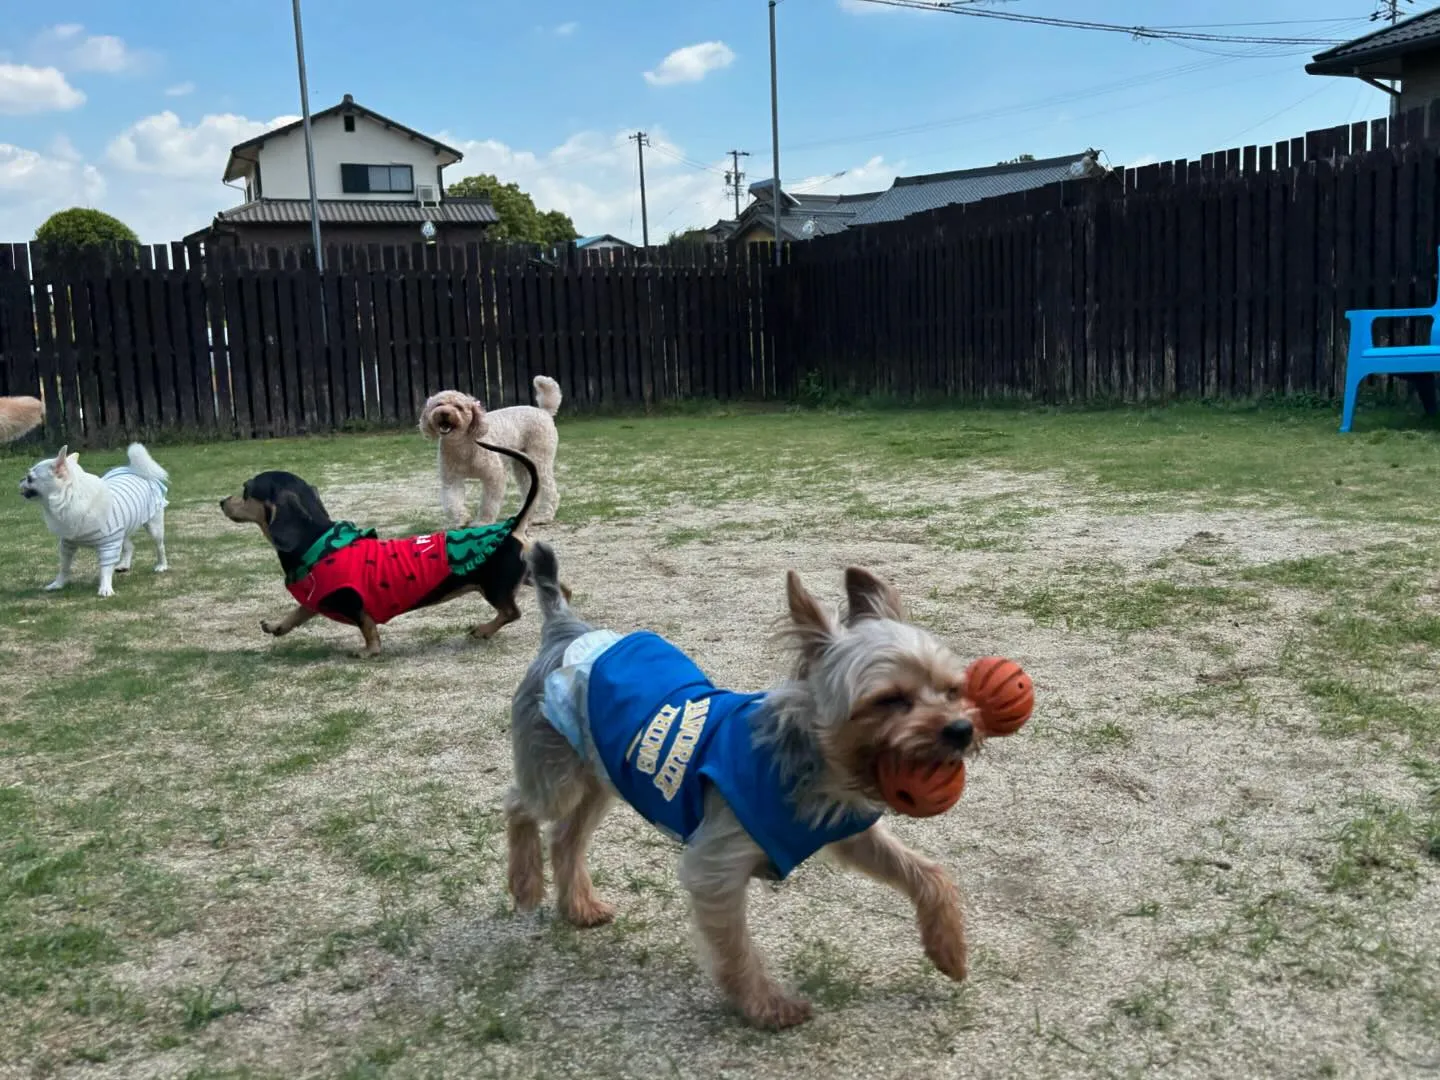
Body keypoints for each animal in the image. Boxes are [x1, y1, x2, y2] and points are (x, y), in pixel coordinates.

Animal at [18, 446, 169, 601]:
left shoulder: (109, 544)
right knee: (130, 546)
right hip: (122, 530)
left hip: (154, 527)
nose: (21, 479)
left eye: (30, 479)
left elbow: (105, 568)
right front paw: (58, 584)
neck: (70, 497)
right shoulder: (67, 544)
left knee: (160, 546)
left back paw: (161, 565)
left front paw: (105, 588)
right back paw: (124, 565)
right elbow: (64, 566)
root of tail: (133, 469)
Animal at [420, 377, 558, 529]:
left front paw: (483, 522)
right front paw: (461, 520)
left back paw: (543, 517)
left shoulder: (494, 476)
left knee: (550, 490)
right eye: (439, 404)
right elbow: (452, 502)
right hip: (522, 466)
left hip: (540, 460)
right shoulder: (451, 479)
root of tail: (544, 411)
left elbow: (489, 502)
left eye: (458, 407)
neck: (462, 445)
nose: (444, 413)